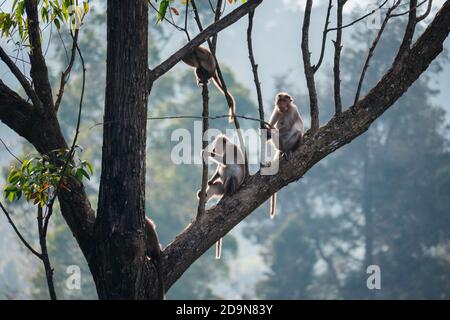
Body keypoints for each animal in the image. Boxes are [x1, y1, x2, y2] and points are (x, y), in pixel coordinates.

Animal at [266, 91, 304, 219]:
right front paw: (267, 131)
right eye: (280, 100)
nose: (281, 104)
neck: (285, 110)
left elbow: (288, 126)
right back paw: (282, 151)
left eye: (285, 100)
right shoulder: (277, 110)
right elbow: (272, 124)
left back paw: (289, 151)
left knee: (297, 132)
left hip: (292, 142)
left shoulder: (293, 110)